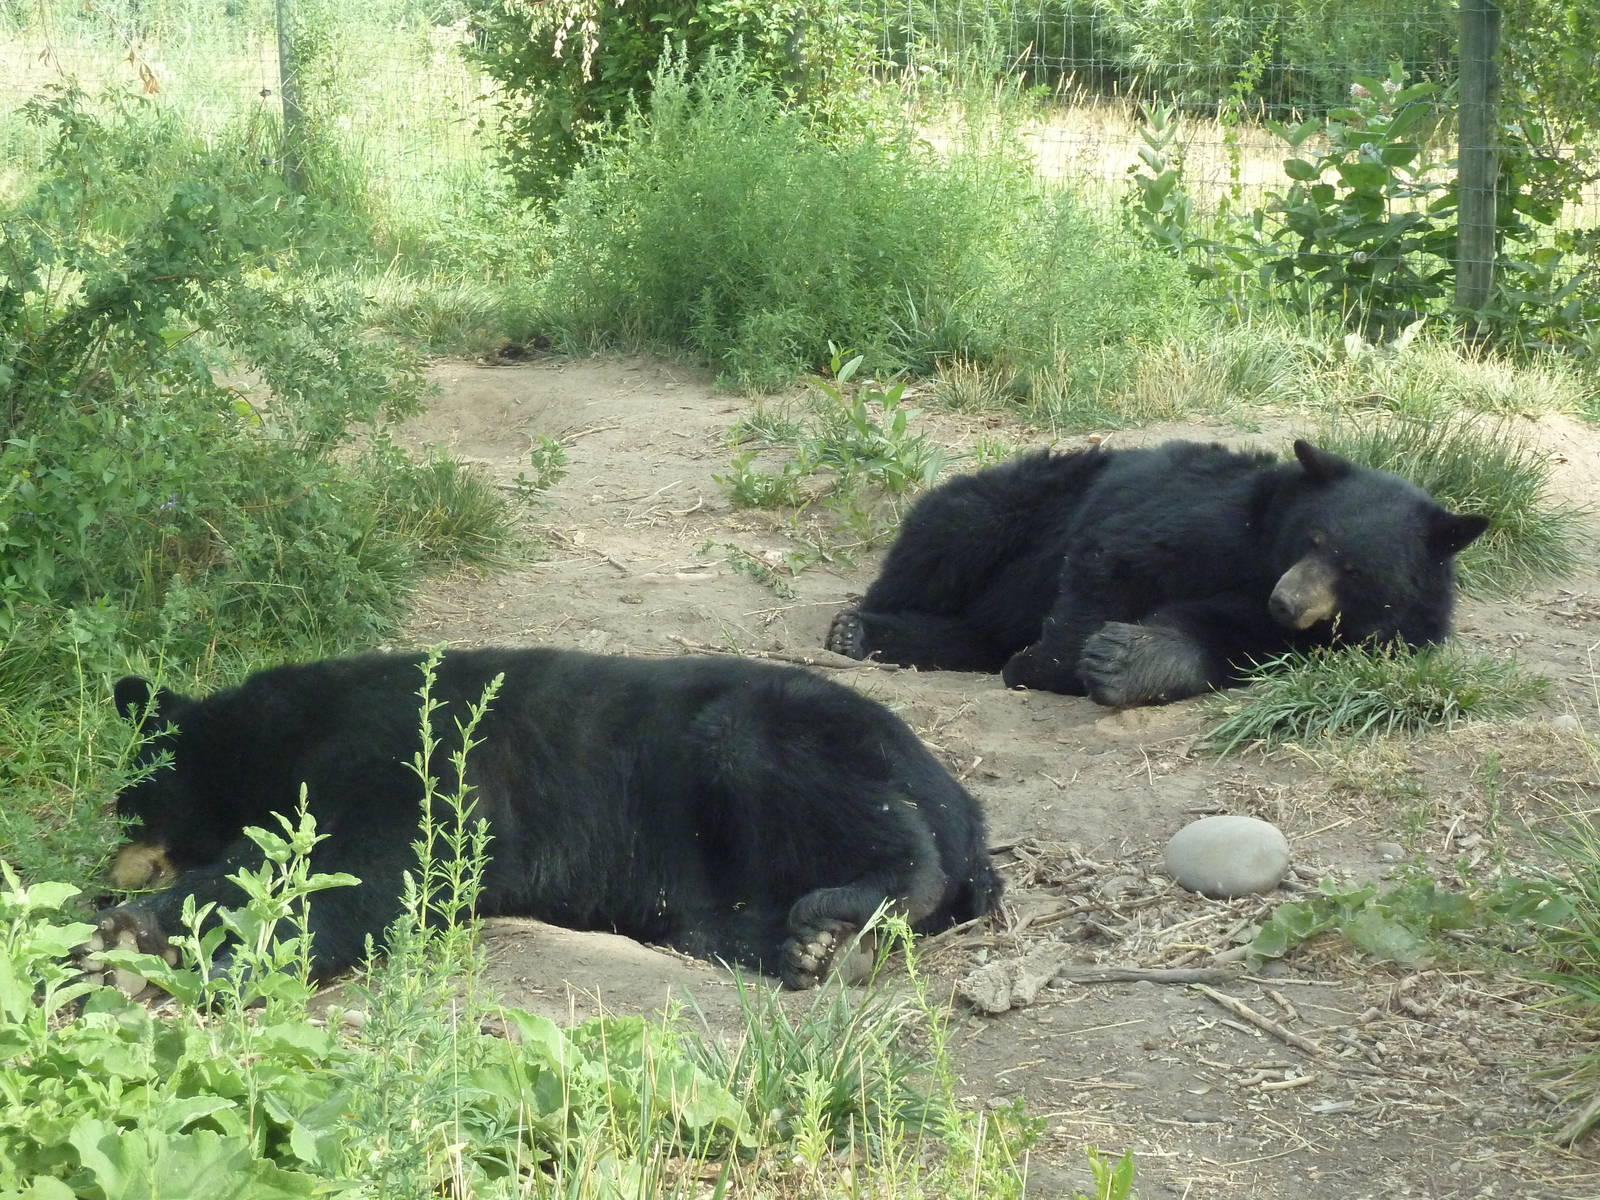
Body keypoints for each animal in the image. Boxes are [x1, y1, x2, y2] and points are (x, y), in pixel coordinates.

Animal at [85, 647, 1001, 991]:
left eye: (130, 808)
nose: (105, 874)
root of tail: (968, 807)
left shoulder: (413, 755)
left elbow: (373, 867)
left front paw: (150, 935)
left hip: (781, 734)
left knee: (865, 817)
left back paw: (853, 914)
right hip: (718, 896)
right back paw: (811, 945)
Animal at [826, 439, 1489, 708]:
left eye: (1354, 569)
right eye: (1313, 538)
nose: (1287, 601)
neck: (1261, 564)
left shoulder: (1325, 636)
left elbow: (1228, 640)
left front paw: (1125, 662)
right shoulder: (1217, 518)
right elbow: (1117, 556)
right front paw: (1046, 664)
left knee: (976, 632)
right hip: (1019, 501)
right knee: (948, 536)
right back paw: (858, 628)